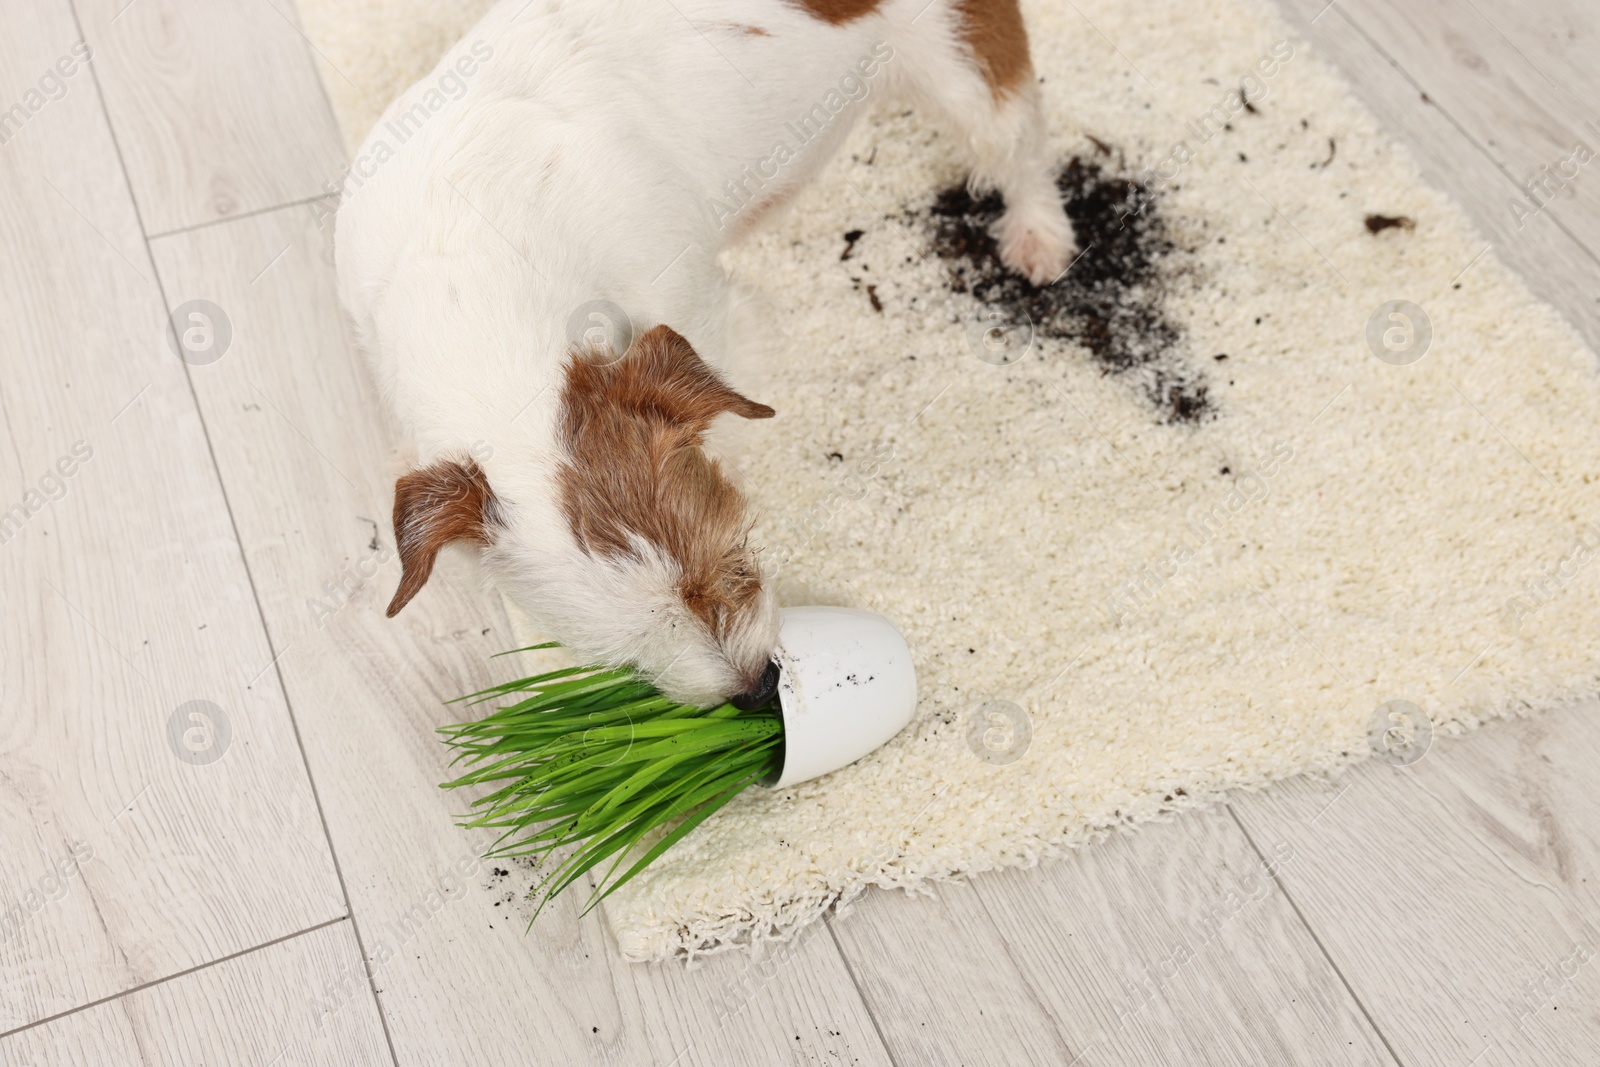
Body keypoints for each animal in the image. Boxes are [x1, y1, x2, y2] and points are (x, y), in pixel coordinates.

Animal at [337, 2, 1075, 710]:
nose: (755, 691)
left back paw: (1038, 236)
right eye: (624, 654)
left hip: (964, 68)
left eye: (728, 558)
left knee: (1019, 146)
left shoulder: (706, 314)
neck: (471, 270)